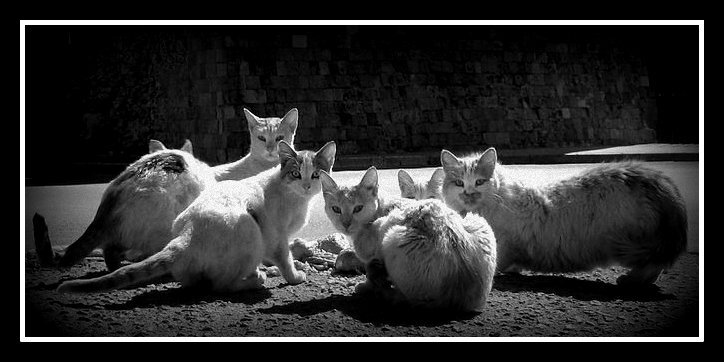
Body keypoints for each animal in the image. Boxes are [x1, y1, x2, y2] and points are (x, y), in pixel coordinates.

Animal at [58, 141, 338, 294]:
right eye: (296, 173)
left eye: (316, 175)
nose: (307, 186)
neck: (298, 200)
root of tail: (185, 238)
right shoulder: (277, 237)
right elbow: (285, 259)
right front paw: (294, 275)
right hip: (250, 228)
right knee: (222, 285)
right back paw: (255, 279)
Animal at [320, 168, 498, 312]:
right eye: (336, 209)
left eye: (358, 208)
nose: (346, 224)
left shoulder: (372, 251)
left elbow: (369, 273)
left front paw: (365, 286)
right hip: (477, 221)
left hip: (390, 234)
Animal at [438, 147, 688, 286]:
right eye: (459, 183)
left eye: (479, 181)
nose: (468, 193)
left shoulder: (505, 242)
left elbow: (496, 261)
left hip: (636, 241)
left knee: (655, 263)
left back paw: (630, 280)